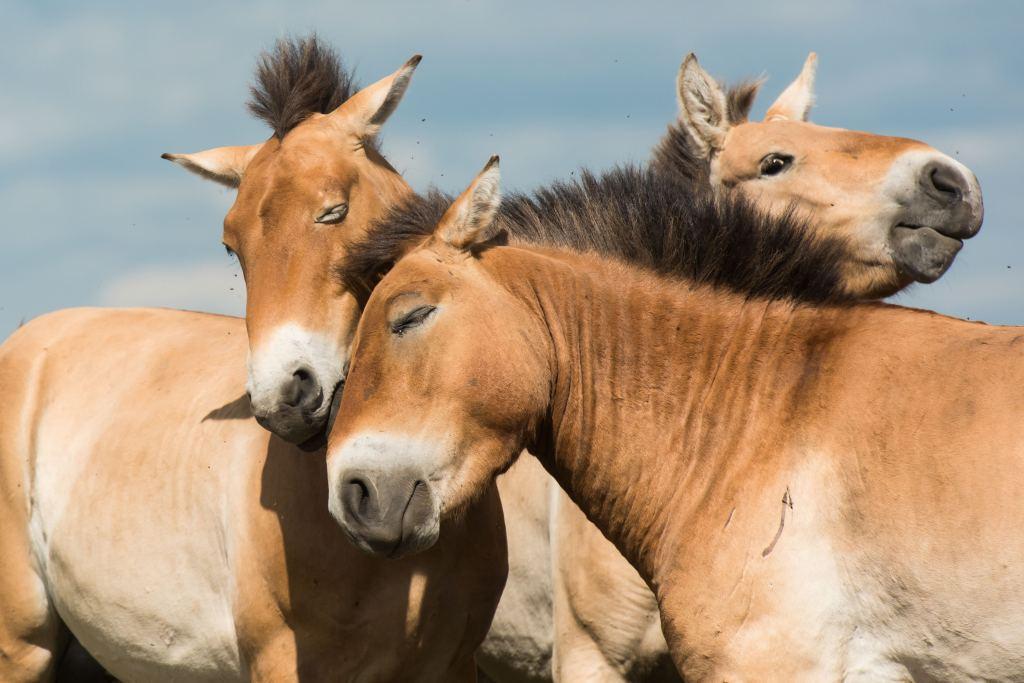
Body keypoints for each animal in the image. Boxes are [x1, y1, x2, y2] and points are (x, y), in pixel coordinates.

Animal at [0, 38, 507, 683]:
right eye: (231, 245)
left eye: (333, 211)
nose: (286, 396)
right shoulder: (280, 660)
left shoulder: (453, 664)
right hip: (21, 646)